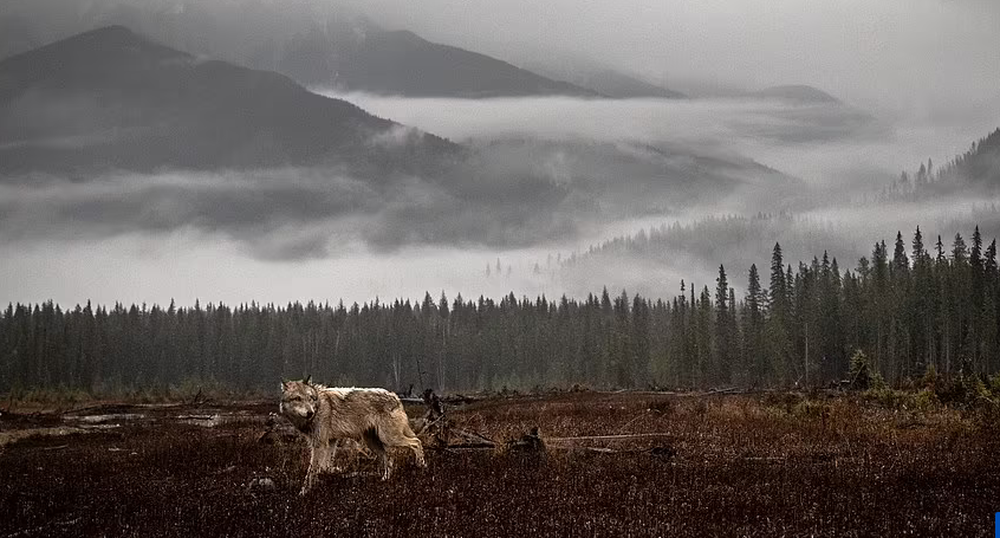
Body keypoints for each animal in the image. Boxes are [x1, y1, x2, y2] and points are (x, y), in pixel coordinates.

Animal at [278, 374, 426, 492]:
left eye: (310, 398)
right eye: (297, 398)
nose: (310, 412)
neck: (319, 406)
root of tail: (395, 397)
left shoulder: (319, 444)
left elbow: (311, 471)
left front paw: (303, 493)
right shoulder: (331, 442)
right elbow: (324, 467)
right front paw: (329, 477)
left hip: (388, 438)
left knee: (416, 442)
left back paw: (421, 465)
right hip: (373, 443)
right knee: (389, 458)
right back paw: (385, 480)